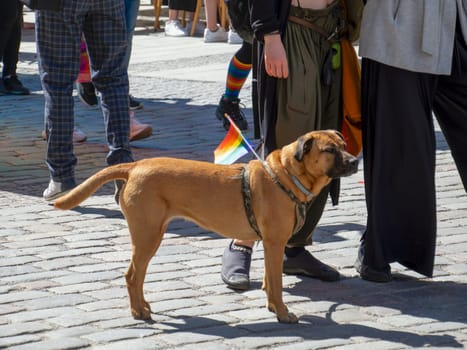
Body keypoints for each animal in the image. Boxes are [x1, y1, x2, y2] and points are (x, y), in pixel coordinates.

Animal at [56, 131, 360, 322]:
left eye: (344, 144)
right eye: (329, 150)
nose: (356, 161)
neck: (285, 175)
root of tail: (134, 166)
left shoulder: (271, 246)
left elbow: (269, 280)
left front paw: (273, 306)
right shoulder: (274, 243)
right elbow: (277, 283)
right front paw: (283, 313)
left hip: (150, 235)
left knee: (137, 277)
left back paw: (142, 307)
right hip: (148, 236)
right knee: (132, 275)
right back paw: (138, 312)